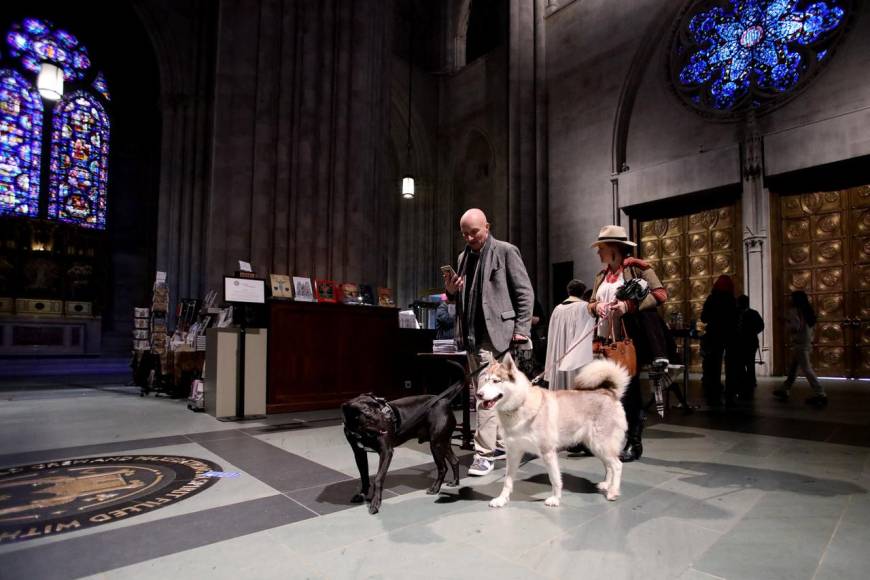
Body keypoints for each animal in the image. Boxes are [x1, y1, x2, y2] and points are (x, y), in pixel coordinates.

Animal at [480, 352, 632, 506]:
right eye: (485, 380)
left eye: (496, 381)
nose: (478, 394)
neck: (520, 405)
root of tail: (609, 392)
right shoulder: (513, 453)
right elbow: (508, 481)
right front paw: (501, 499)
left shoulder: (548, 452)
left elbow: (554, 479)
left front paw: (555, 499)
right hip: (596, 447)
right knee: (609, 466)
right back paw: (607, 485)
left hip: (601, 445)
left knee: (617, 465)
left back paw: (613, 491)